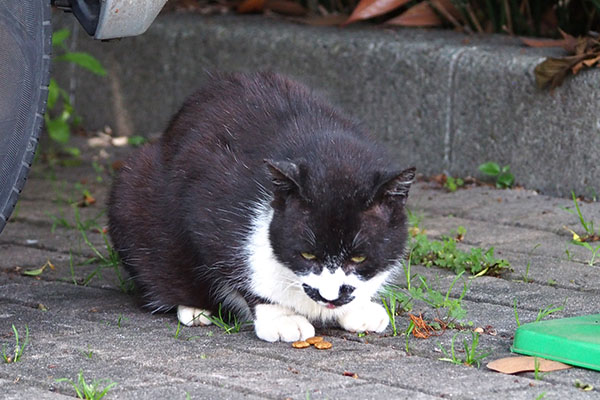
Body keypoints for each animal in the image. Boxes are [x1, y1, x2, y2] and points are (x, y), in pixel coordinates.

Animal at [108, 72, 414, 340]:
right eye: (307, 255)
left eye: (359, 258)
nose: (330, 297)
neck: (328, 147)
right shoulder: (208, 205)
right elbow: (235, 262)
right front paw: (281, 317)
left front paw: (357, 308)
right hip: (132, 186)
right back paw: (193, 307)